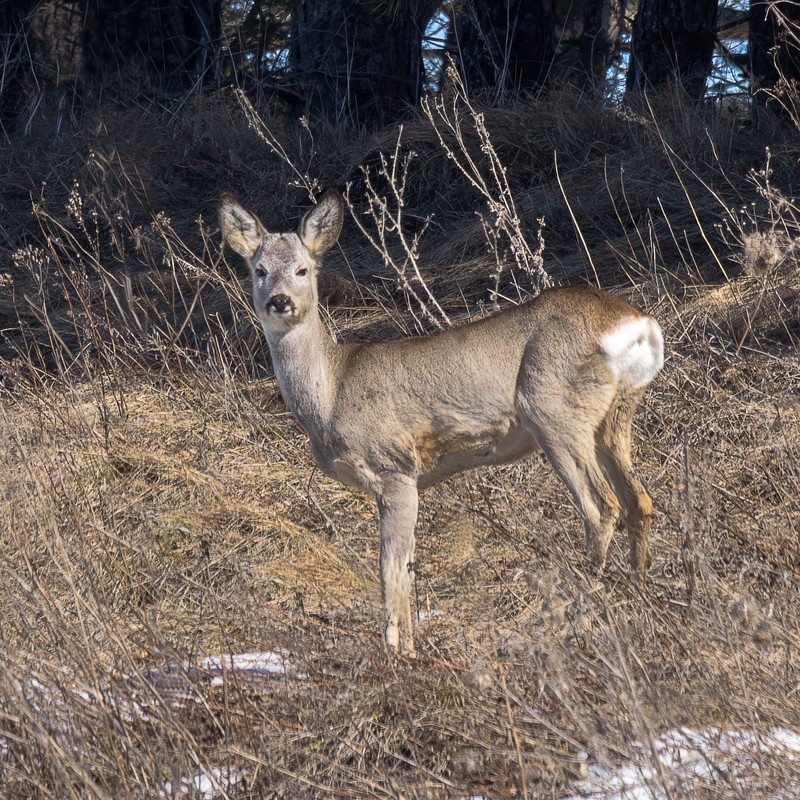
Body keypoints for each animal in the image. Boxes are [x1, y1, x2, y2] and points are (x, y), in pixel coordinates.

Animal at [219, 192, 664, 656]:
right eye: (259, 270)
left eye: (303, 269)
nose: (280, 301)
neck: (331, 390)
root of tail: (638, 324)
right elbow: (408, 568)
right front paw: (408, 646)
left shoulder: (395, 469)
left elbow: (391, 571)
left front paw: (400, 653)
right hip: (613, 418)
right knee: (639, 500)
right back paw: (637, 597)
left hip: (554, 411)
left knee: (602, 507)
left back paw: (577, 622)